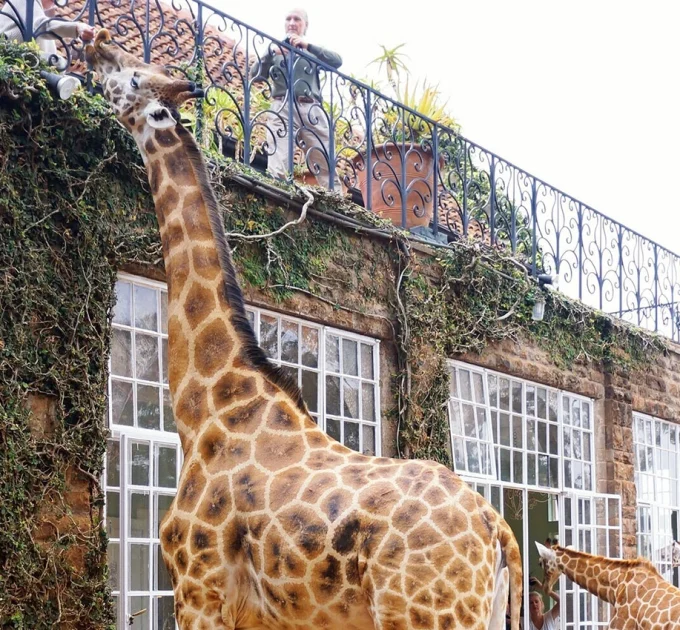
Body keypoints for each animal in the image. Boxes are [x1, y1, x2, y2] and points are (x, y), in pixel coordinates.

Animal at [86, 30, 523, 630]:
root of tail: (497, 530)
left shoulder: (198, 590)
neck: (206, 411)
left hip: (426, 614)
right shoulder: (263, 614)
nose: (94, 44)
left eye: (132, 76)